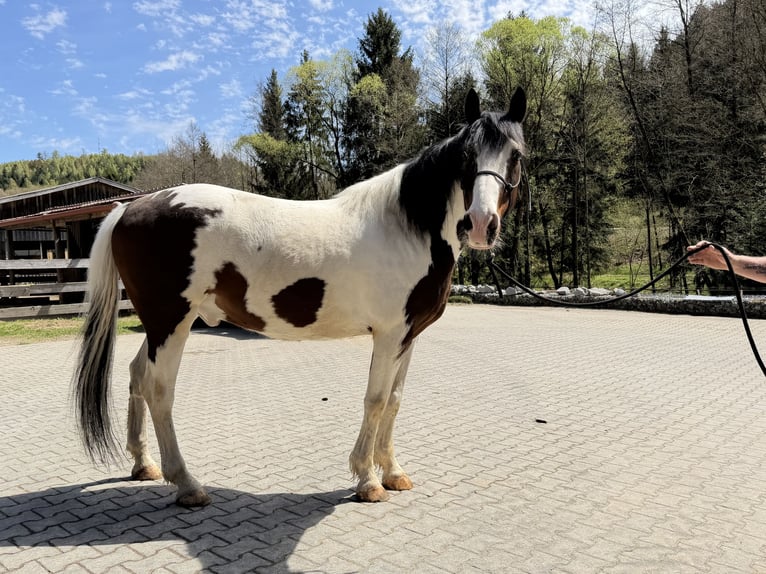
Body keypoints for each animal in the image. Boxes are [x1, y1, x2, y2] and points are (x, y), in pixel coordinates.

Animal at [73, 87, 527, 507]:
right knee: (159, 390)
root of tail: (129, 208)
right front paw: (368, 480)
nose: (481, 224)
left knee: (137, 376)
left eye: (516, 155)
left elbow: (395, 401)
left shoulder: (407, 337)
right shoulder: (388, 334)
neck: (406, 227)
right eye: (466, 156)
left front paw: (394, 472)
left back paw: (143, 464)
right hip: (172, 323)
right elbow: (376, 400)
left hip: (161, 325)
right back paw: (187, 484)